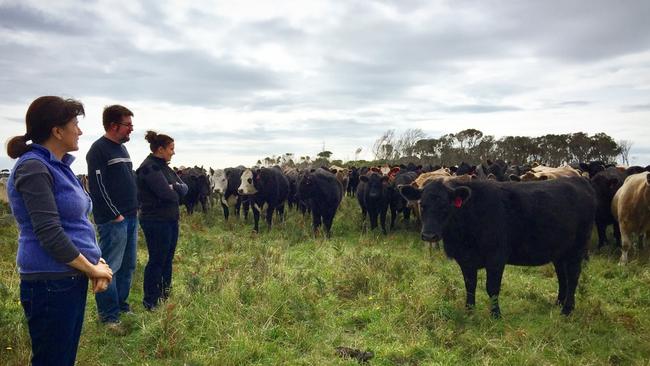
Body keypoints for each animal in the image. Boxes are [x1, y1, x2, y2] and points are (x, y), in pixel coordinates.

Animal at [398, 177, 596, 318]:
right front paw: (469, 311)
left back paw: (567, 310)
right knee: (562, 277)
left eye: (445, 205)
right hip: (559, 252)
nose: (429, 235)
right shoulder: (466, 260)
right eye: (422, 204)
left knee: (573, 277)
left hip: (576, 250)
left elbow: (492, 287)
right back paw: (558, 303)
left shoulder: (496, 258)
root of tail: (579, 181)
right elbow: (470, 285)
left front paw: (496, 315)